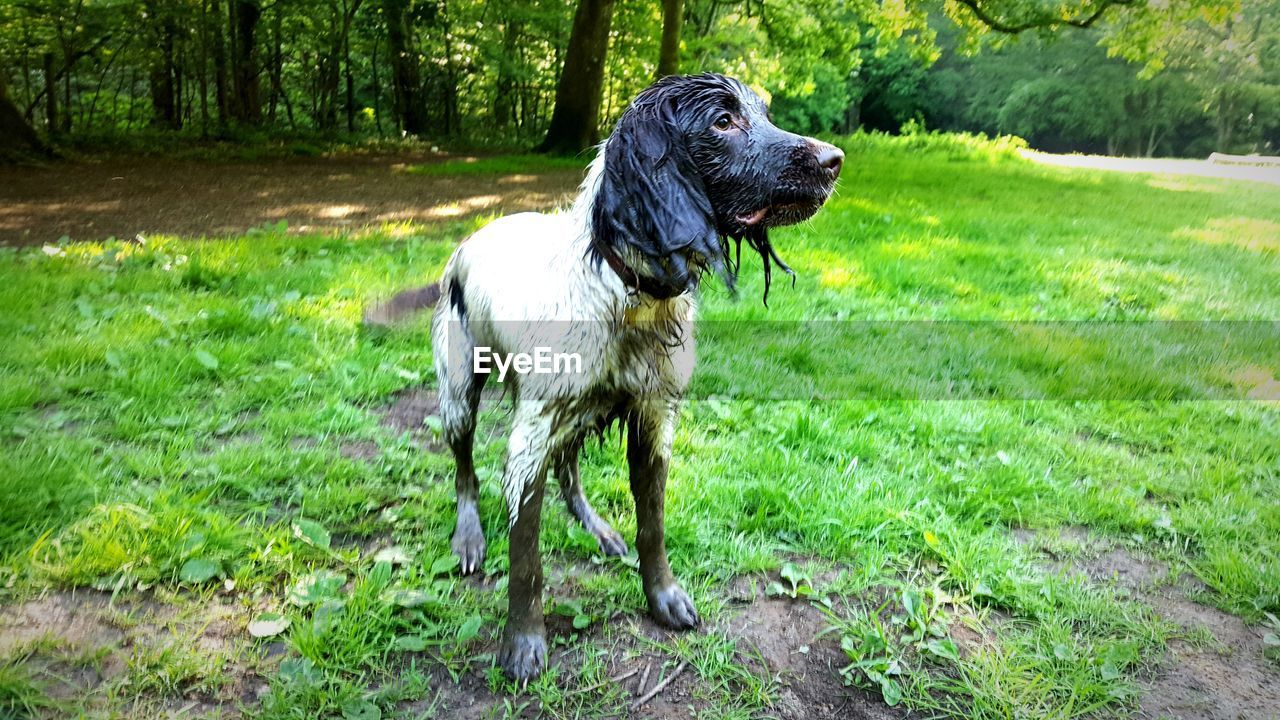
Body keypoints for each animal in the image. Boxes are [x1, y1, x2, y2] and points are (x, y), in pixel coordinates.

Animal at [371, 74, 844, 676]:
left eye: (764, 113)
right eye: (723, 121)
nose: (834, 159)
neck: (627, 293)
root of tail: (472, 238)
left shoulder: (653, 422)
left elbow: (652, 527)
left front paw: (663, 596)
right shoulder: (529, 439)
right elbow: (525, 560)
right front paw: (523, 641)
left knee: (569, 470)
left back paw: (594, 526)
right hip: (459, 393)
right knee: (465, 470)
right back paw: (469, 537)